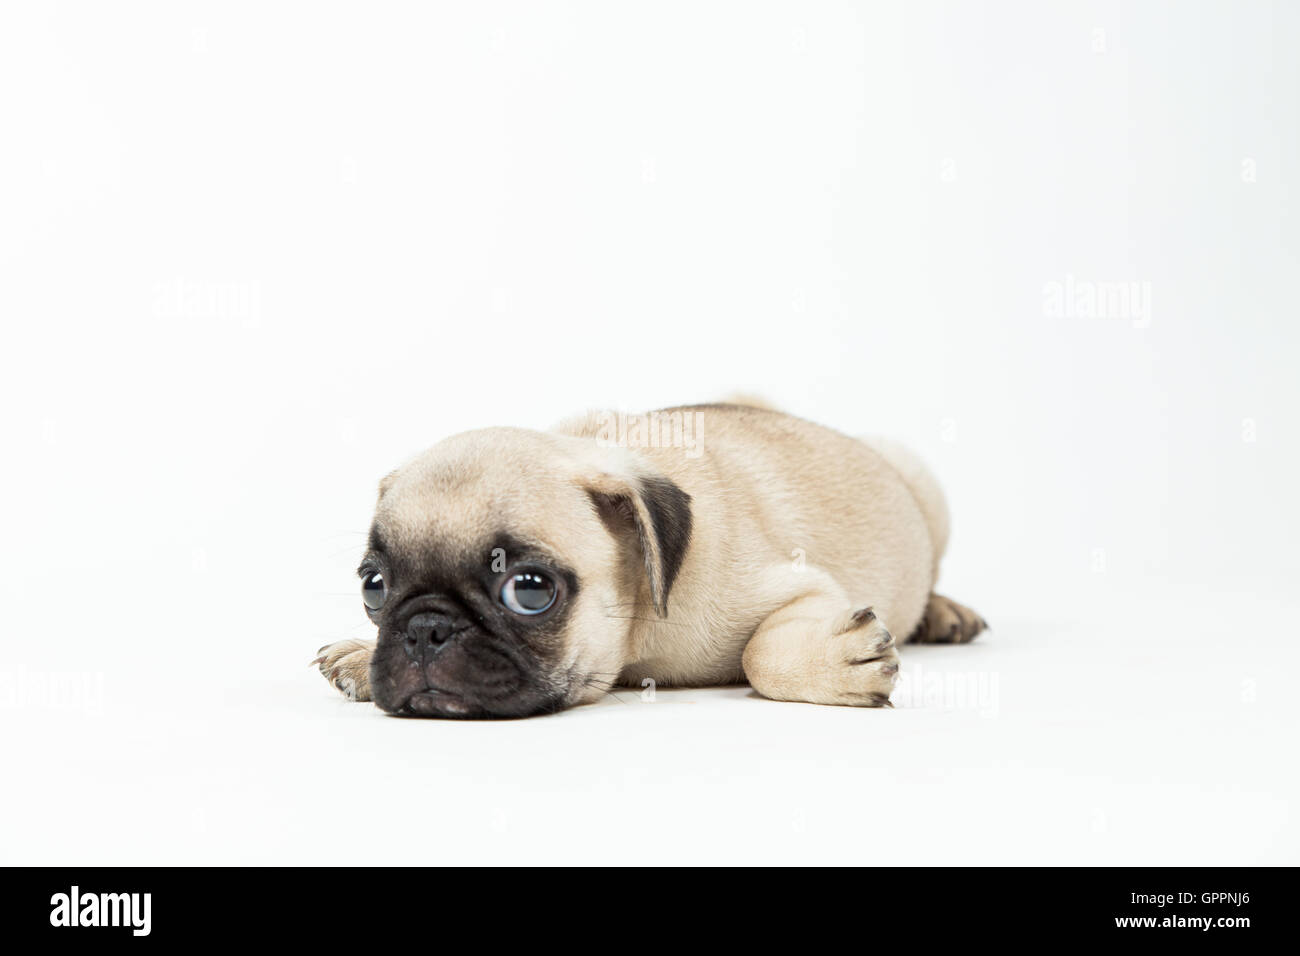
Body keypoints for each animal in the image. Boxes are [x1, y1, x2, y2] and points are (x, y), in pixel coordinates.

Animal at [314, 400, 982, 723]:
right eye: (374, 588)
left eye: (529, 590)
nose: (426, 629)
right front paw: (357, 653)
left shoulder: (804, 585)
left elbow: (759, 651)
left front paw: (839, 663)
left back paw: (944, 612)